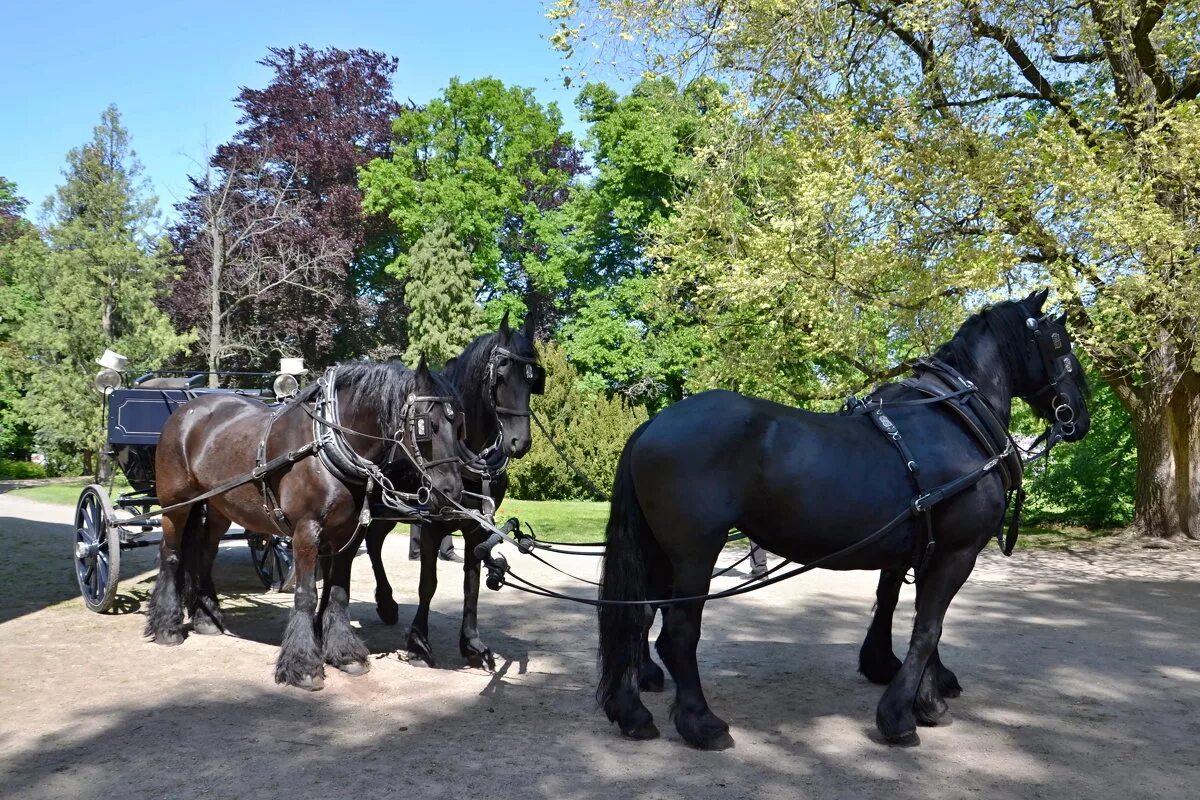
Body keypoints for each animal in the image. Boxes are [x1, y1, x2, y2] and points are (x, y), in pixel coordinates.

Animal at [144, 357, 463, 690]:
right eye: (427, 425)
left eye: (459, 425)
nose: (452, 491)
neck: (326, 445)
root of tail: (185, 410)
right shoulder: (306, 532)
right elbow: (307, 594)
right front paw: (304, 665)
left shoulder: (348, 534)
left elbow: (338, 593)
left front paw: (345, 654)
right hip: (176, 503)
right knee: (170, 553)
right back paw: (167, 627)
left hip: (220, 505)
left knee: (205, 552)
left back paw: (207, 618)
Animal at [357, 311, 542, 671]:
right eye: (500, 376)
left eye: (533, 379)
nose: (520, 442)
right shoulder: (430, 523)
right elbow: (428, 583)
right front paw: (418, 642)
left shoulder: (477, 526)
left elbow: (471, 582)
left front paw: (472, 644)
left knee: (373, 541)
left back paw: (386, 602)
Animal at [597, 293, 1089, 753]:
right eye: (1060, 342)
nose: (1080, 417)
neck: (954, 420)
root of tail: (654, 424)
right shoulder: (957, 551)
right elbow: (928, 628)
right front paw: (902, 714)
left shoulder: (921, 550)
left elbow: (907, 613)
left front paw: (913, 686)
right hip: (694, 552)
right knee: (677, 633)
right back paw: (701, 723)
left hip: (658, 551)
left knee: (635, 617)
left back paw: (632, 711)